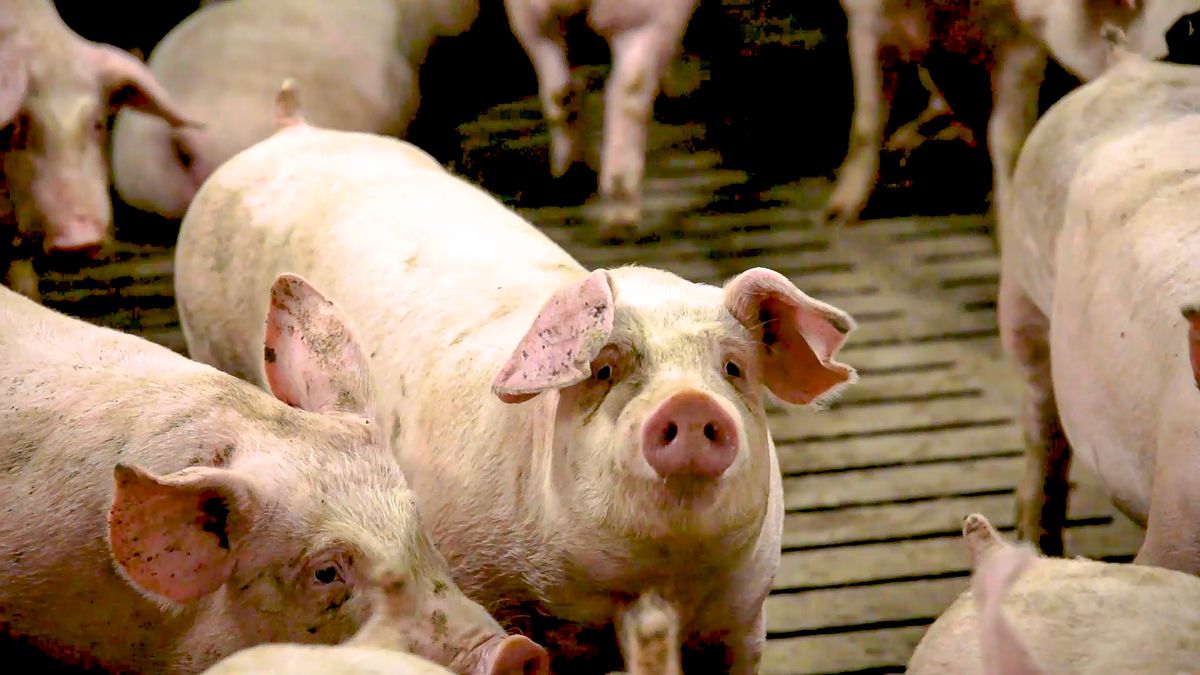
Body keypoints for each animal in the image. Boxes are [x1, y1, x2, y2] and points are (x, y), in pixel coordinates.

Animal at [172, 81, 858, 673]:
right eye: (604, 368)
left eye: (734, 369)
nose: (690, 404)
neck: (649, 592)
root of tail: (291, 128)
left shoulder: (742, 617)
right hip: (205, 330)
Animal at [502, 0, 701, 229]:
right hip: (644, 19)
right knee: (630, 89)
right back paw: (620, 204)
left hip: (532, 22)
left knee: (559, 94)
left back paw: (569, 176)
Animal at [825, 0, 1200, 226]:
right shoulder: (865, 21)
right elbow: (867, 119)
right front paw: (838, 214)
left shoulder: (1022, 41)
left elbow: (1007, 137)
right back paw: (904, 151)